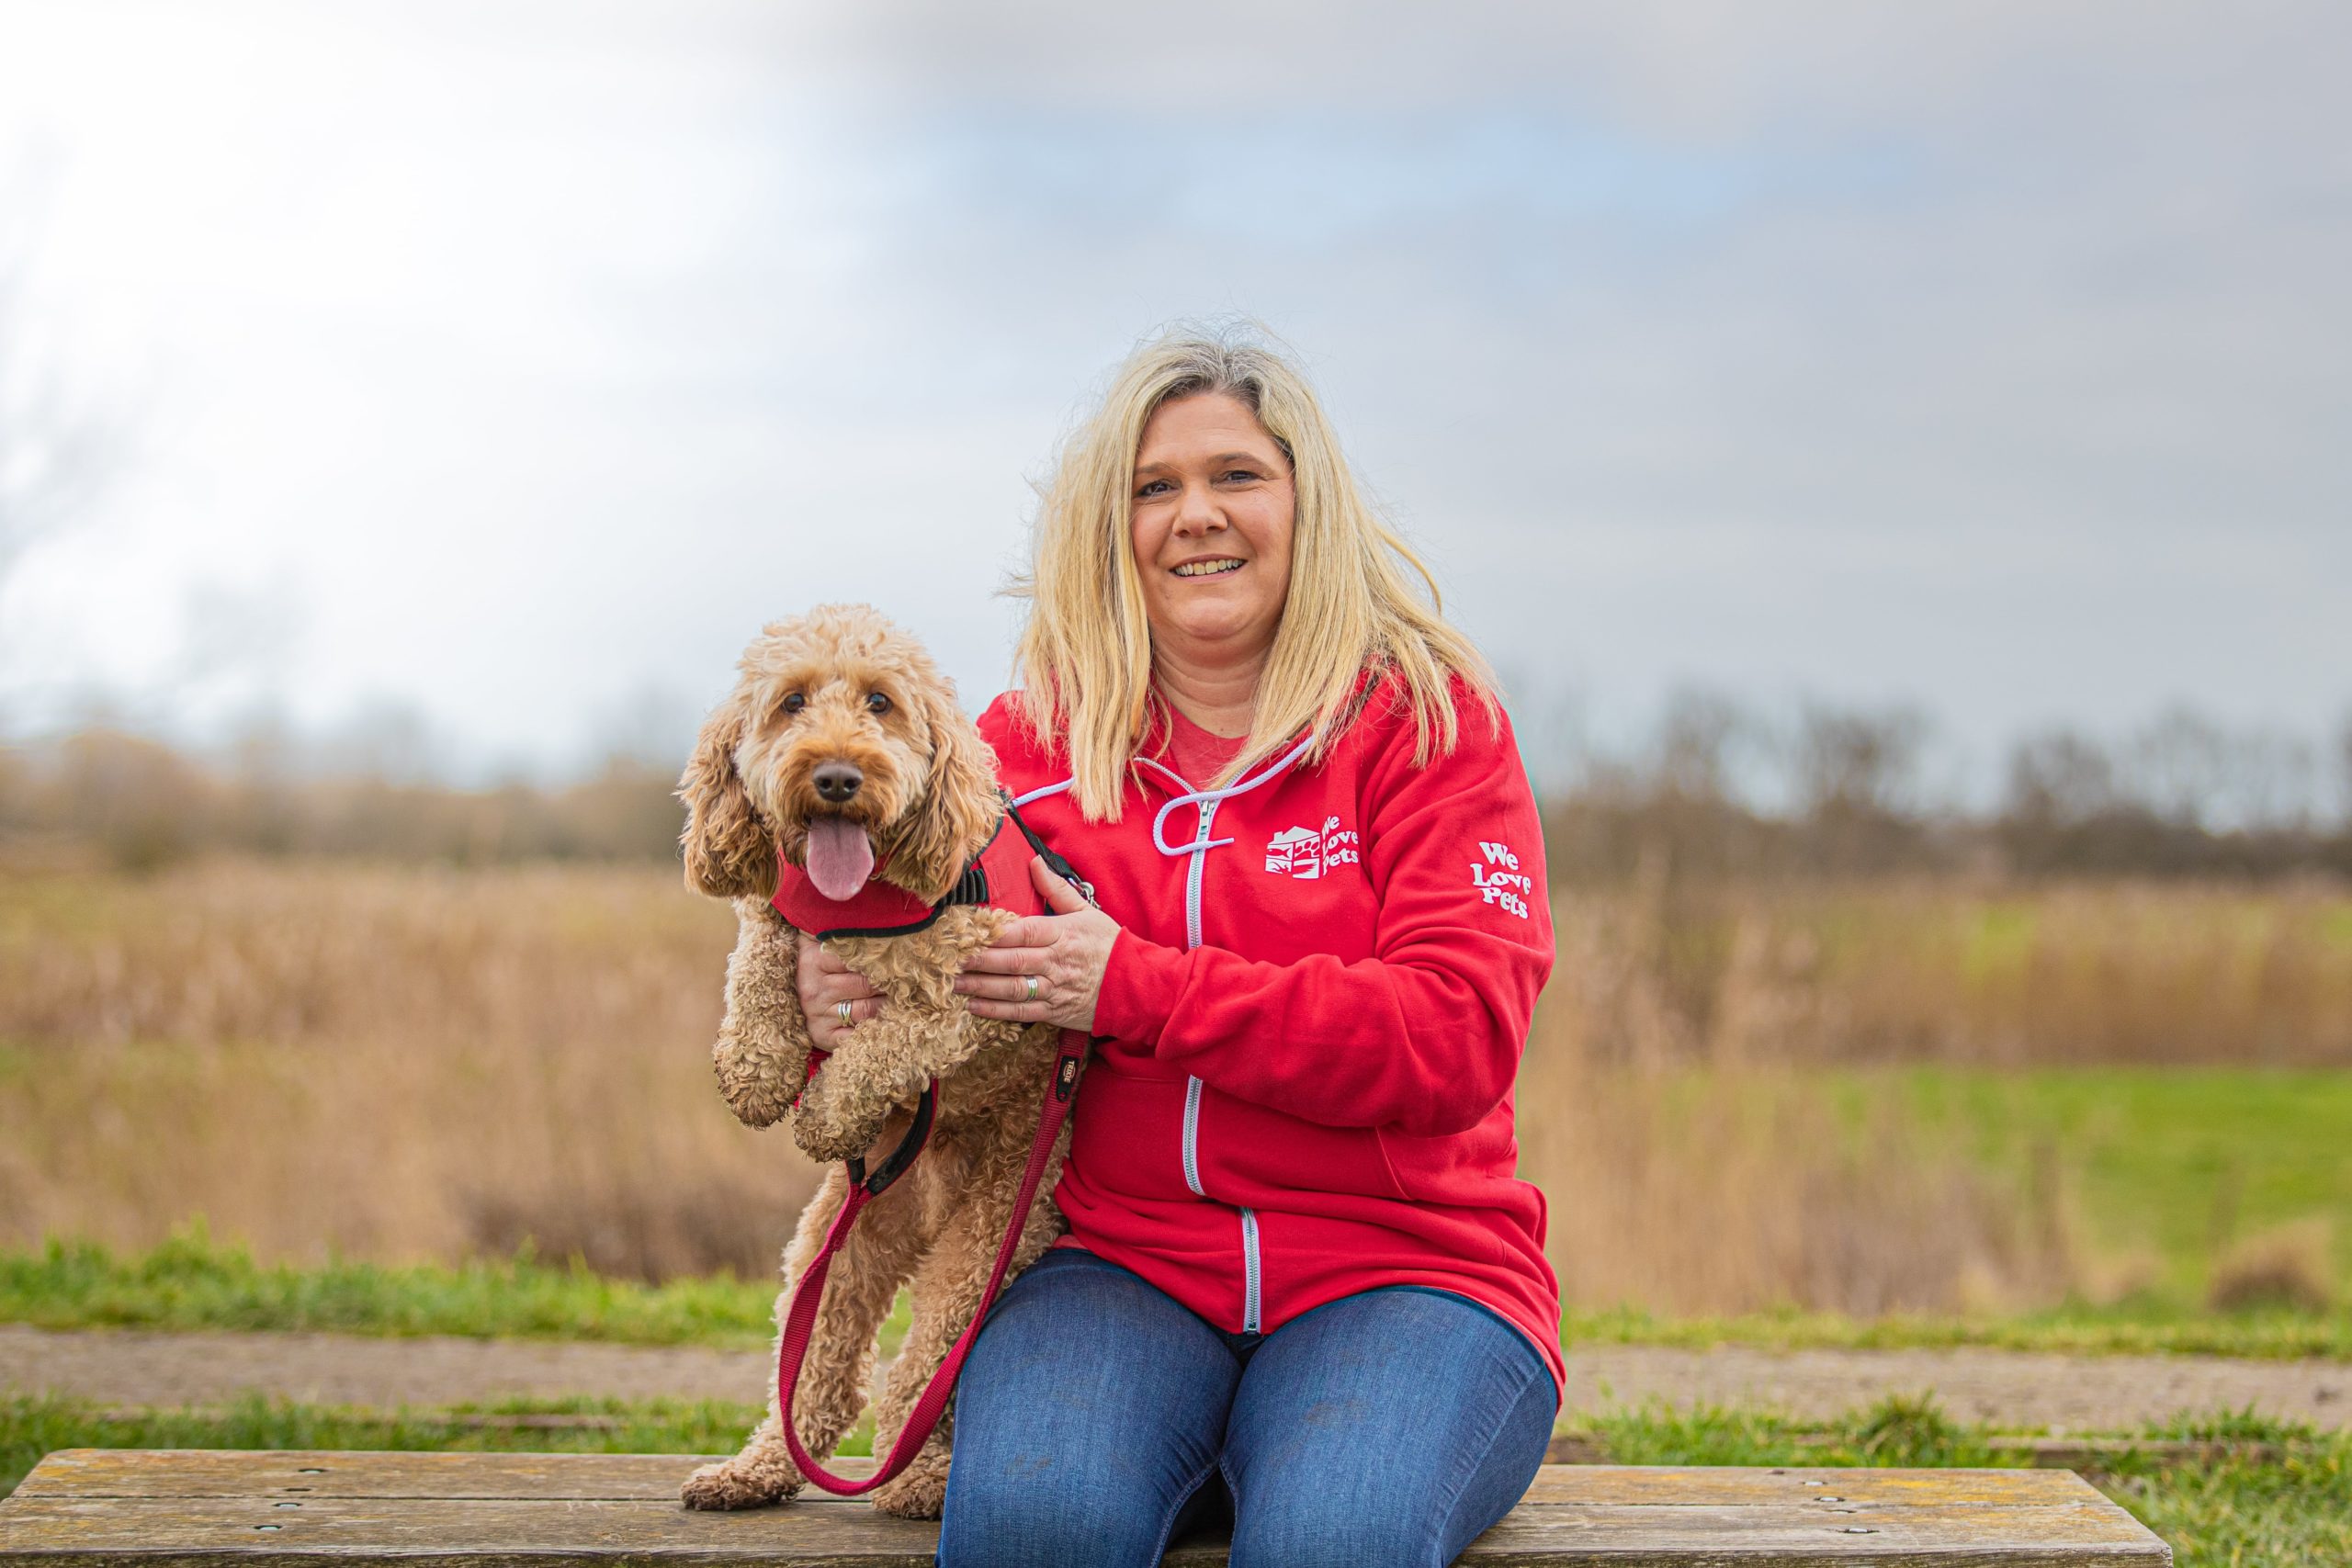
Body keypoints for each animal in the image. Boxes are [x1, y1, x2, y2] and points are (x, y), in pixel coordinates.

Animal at [673, 606, 1077, 1523]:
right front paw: (754, 1066)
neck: (856, 902)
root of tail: (922, 1205)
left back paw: (919, 1480)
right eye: (790, 701)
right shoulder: (777, 913)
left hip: (986, 1241)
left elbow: (885, 1041)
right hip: (834, 1245)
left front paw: (827, 1112)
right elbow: (759, 954)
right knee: (821, 1378)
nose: (835, 776)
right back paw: (755, 1469)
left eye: (881, 703)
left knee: (916, 1381)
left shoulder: (972, 993)